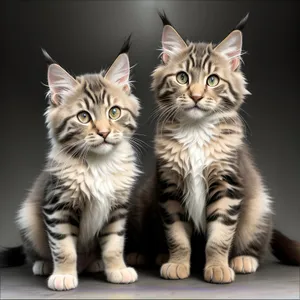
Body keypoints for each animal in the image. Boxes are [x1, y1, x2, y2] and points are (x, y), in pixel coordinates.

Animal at [0, 37, 141, 290]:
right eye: (84, 117)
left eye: (114, 112)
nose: (104, 132)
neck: (99, 164)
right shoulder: (58, 206)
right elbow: (64, 247)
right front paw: (64, 275)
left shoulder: (117, 208)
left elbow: (114, 245)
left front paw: (117, 269)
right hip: (26, 216)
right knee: (33, 254)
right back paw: (44, 265)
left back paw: (95, 263)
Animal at [125, 12, 300, 284]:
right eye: (182, 77)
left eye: (212, 80)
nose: (196, 96)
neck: (196, 131)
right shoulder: (169, 188)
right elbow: (176, 235)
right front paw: (177, 263)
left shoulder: (227, 185)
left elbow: (219, 236)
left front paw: (217, 267)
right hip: (143, 200)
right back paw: (148, 254)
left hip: (259, 206)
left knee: (257, 243)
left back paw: (244, 259)